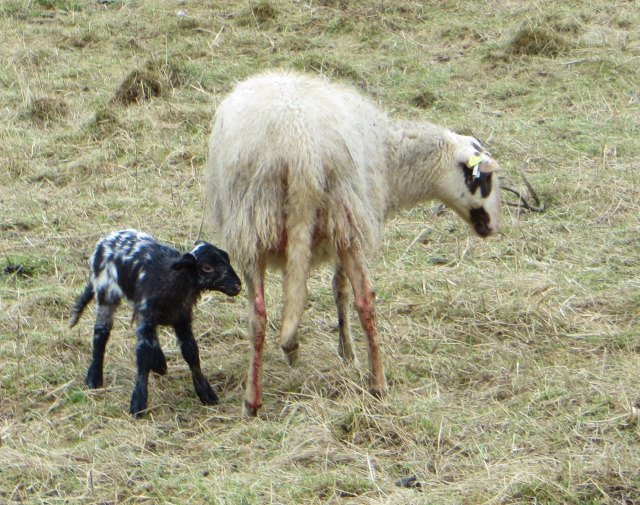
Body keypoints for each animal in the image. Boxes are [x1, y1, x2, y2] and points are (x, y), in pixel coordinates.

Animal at [69, 230, 241, 416]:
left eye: (227, 260)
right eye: (207, 267)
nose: (237, 286)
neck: (174, 279)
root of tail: (107, 238)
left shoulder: (182, 318)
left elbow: (191, 352)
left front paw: (206, 393)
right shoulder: (145, 316)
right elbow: (143, 355)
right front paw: (138, 403)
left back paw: (159, 363)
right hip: (106, 293)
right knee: (101, 333)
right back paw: (94, 377)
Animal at [205, 71, 500, 418]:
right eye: (484, 179)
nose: (493, 226)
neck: (393, 161)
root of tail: (299, 145)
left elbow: (316, 288)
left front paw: (314, 346)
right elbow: (337, 287)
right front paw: (341, 351)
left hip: (269, 222)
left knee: (263, 312)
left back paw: (259, 394)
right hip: (327, 216)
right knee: (360, 298)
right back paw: (377, 384)